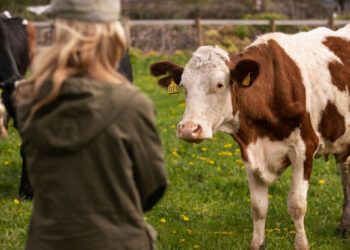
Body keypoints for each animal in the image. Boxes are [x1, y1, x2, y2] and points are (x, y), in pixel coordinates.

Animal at [150, 23, 350, 250]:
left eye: (220, 84)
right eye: (184, 86)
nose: (188, 129)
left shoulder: (305, 147)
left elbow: (297, 204)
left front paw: (301, 244)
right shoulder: (249, 151)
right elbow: (258, 206)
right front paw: (257, 243)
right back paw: (344, 228)